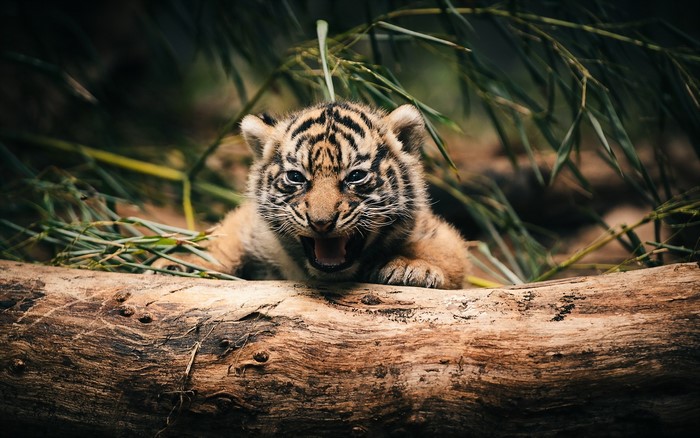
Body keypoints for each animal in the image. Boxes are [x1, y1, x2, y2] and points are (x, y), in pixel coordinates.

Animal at [153, 102, 470, 289]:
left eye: (355, 176)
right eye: (296, 177)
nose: (321, 223)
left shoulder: (436, 231)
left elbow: (446, 252)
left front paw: (411, 268)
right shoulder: (249, 225)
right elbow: (223, 239)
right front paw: (179, 263)